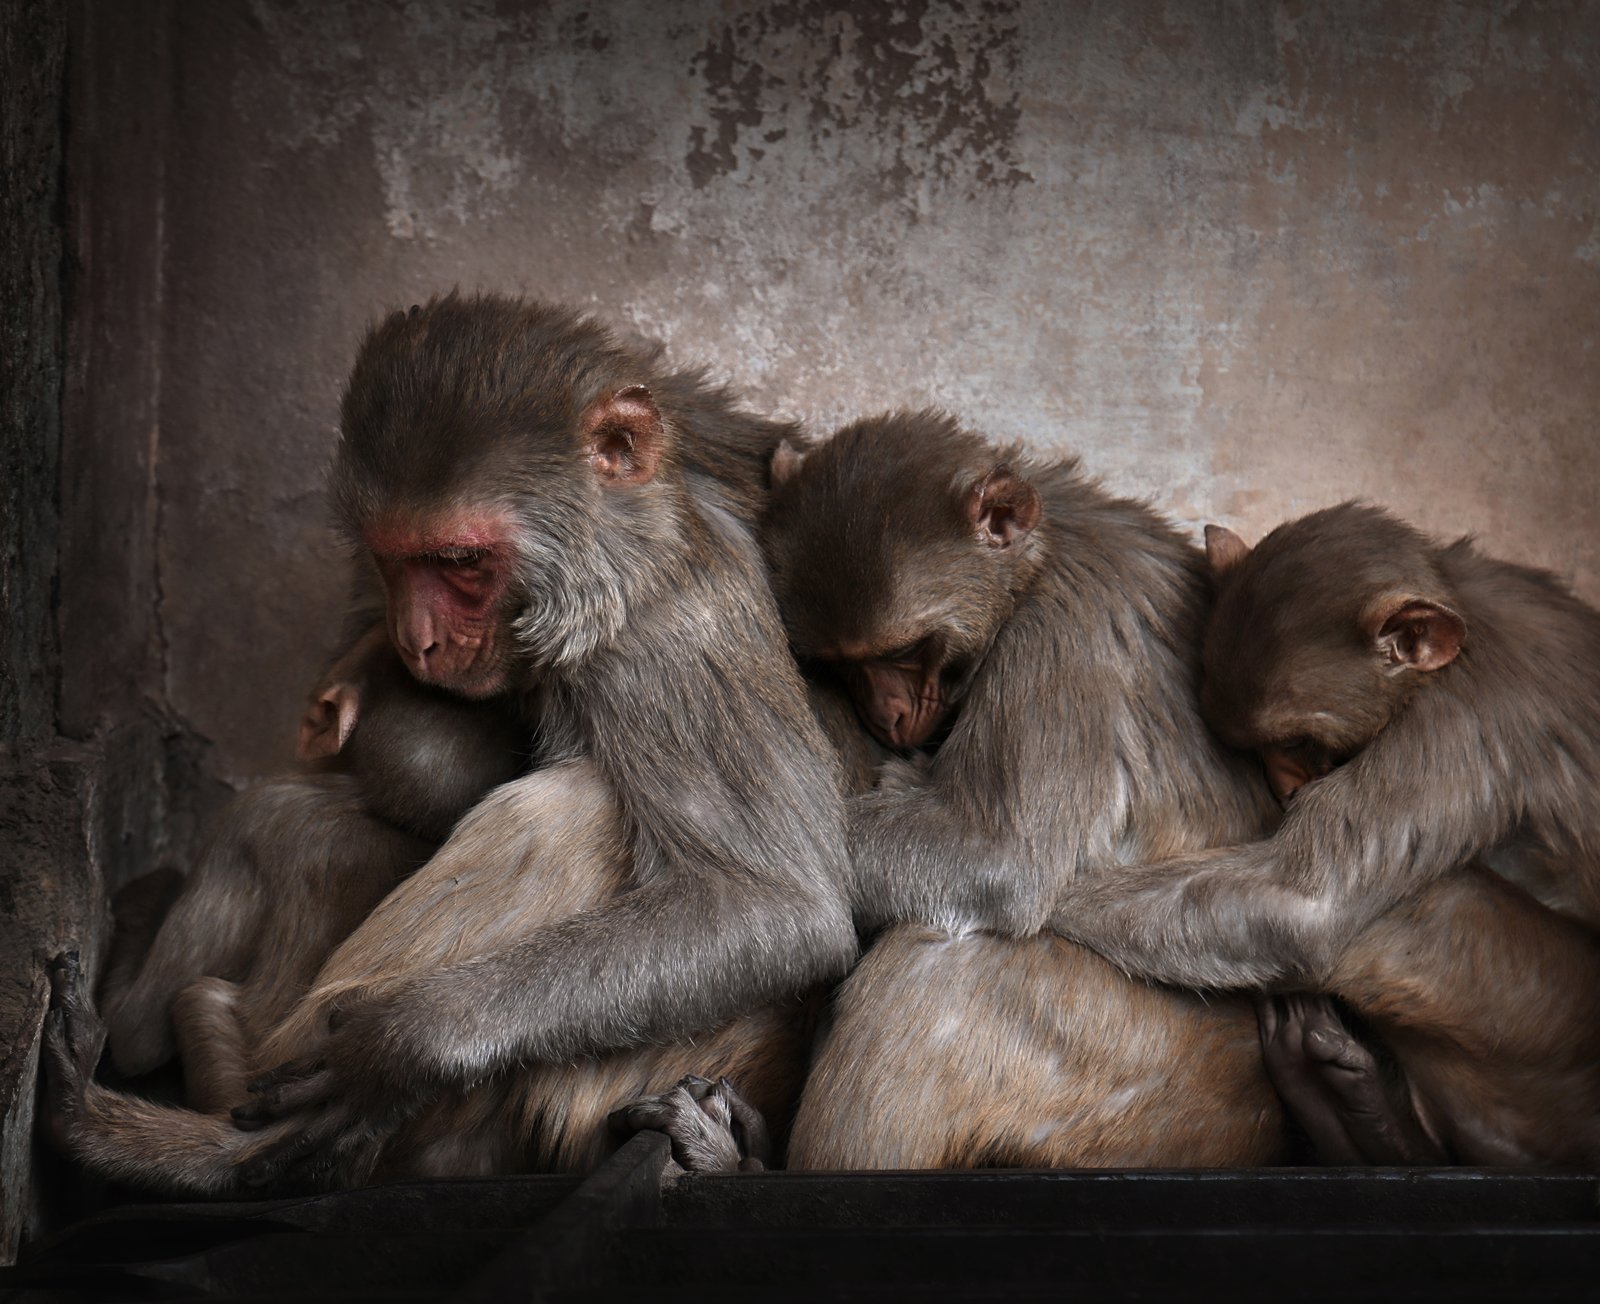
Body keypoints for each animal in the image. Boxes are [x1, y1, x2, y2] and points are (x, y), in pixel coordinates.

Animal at [43, 292, 854, 1193]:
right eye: (391, 558)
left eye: (462, 560)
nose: (415, 639)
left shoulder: (668, 630)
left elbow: (774, 908)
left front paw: (404, 1046)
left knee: (565, 809)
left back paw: (208, 1113)